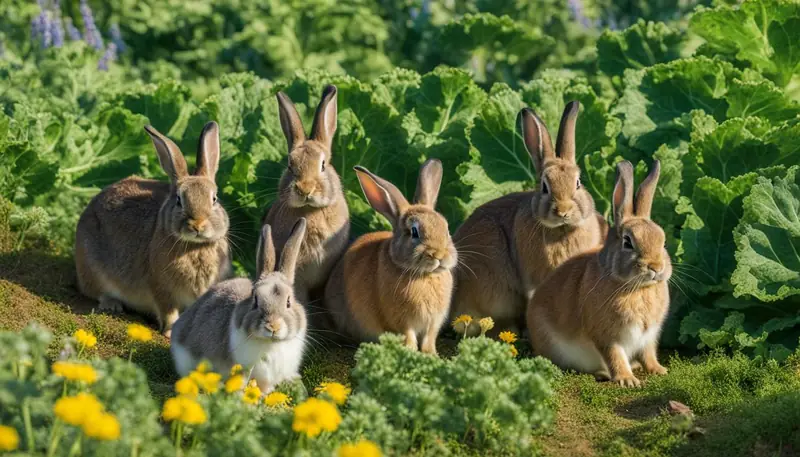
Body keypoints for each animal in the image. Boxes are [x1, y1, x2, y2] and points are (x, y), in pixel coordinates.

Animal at [75, 122, 232, 337]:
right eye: (179, 200)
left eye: (214, 199)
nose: (197, 225)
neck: (195, 246)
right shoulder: (161, 287)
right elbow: (168, 311)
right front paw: (170, 333)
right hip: (91, 264)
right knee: (94, 291)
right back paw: (112, 304)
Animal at [324, 159, 457, 355]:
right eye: (414, 232)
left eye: (446, 229)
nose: (439, 255)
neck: (423, 275)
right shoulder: (400, 321)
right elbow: (408, 336)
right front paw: (410, 353)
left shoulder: (433, 322)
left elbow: (429, 338)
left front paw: (431, 355)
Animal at [527, 160, 671, 387]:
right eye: (628, 242)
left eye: (663, 242)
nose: (656, 267)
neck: (636, 287)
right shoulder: (607, 336)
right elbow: (614, 356)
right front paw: (627, 380)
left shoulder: (648, 336)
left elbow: (648, 354)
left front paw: (659, 370)